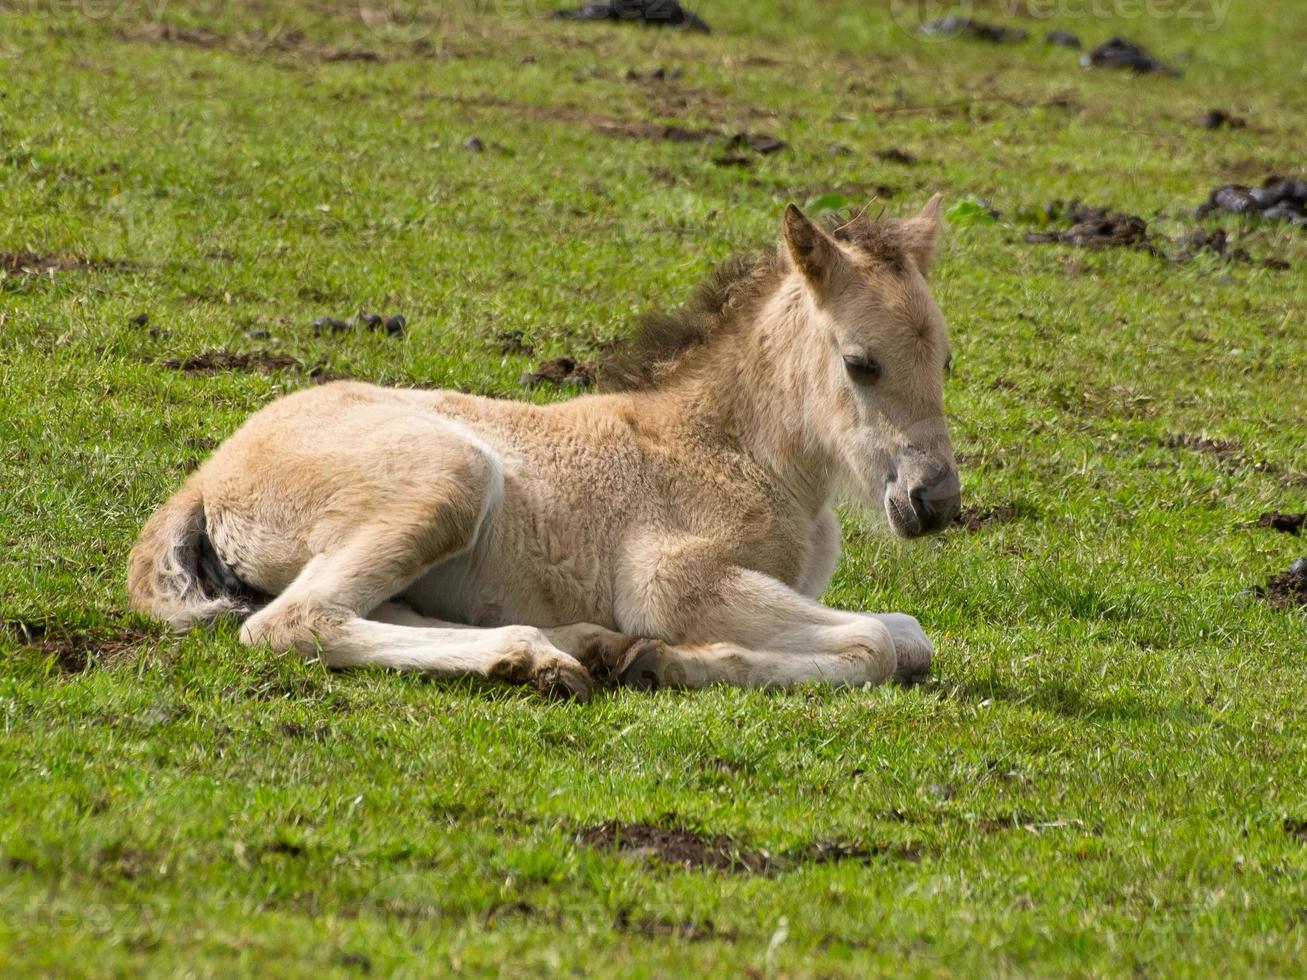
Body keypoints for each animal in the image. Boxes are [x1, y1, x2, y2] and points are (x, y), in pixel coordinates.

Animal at [130, 199, 961, 700]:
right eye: (859, 362)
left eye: (945, 359)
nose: (934, 500)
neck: (731, 451)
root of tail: (206, 476)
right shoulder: (669, 581)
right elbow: (876, 644)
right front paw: (666, 659)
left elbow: (907, 635)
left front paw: (646, 656)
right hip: (451, 479)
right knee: (294, 621)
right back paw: (545, 659)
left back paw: (577, 646)